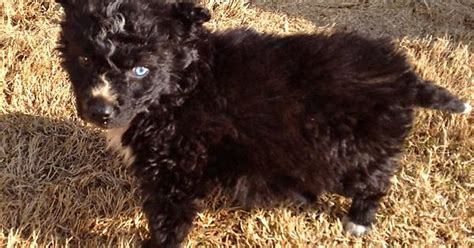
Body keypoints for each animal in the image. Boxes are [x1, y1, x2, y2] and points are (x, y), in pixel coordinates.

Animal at [55, 0, 470, 247]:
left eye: (141, 69)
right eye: (86, 60)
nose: (99, 111)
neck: (182, 86)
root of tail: (404, 78)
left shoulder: (176, 171)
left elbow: (167, 220)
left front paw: (155, 243)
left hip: (357, 150)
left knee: (374, 182)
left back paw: (359, 220)